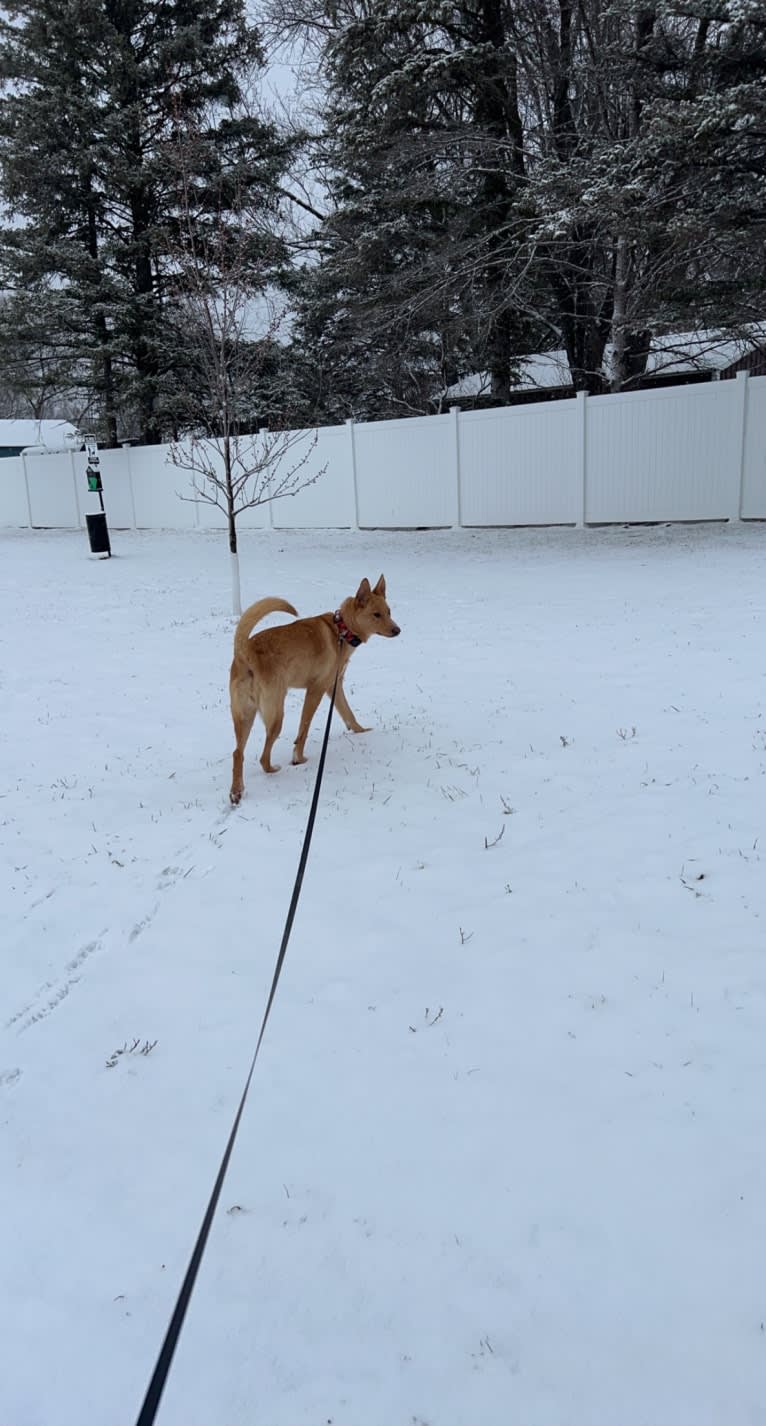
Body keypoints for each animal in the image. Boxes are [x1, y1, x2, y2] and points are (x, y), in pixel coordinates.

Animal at [226, 576, 399, 804]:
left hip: (244, 716)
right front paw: (298, 759)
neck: (340, 630)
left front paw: (361, 732)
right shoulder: (316, 690)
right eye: (376, 614)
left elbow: (348, 714)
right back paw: (272, 769)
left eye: (389, 611)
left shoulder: (334, 687)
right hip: (276, 714)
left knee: (238, 753)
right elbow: (303, 730)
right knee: (263, 756)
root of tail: (244, 652)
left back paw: (236, 791)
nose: (397, 630)